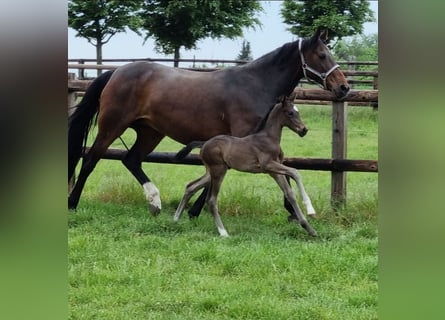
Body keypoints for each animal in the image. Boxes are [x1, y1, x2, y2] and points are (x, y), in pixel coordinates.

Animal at [173, 94, 316, 236]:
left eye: (298, 112)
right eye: (290, 113)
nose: (304, 130)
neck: (268, 138)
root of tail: (204, 143)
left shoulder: (273, 171)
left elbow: (289, 193)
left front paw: (309, 228)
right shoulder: (268, 165)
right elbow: (295, 172)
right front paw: (310, 210)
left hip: (211, 172)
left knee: (191, 187)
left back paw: (175, 220)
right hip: (219, 170)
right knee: (211, 200)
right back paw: (223, 233)